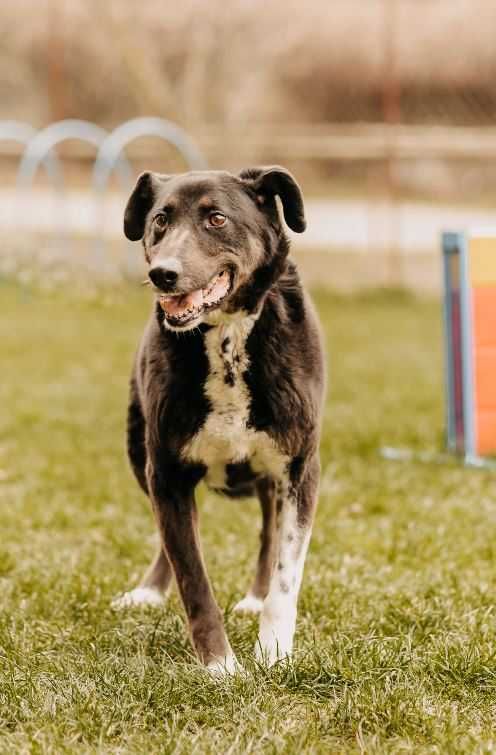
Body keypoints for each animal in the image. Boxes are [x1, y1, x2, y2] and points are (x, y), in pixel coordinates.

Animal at [114, 168, 328, 676]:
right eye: (160, 220)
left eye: (216, 218)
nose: (163, 274)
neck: (227, 337)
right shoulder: (166, 472)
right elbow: (193, 577)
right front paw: (220, 668)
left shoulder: (299, 469)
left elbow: (286, 575)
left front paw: (273, 653)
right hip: (138, 453)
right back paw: (149, 590)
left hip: (271, 477)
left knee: (269, 530)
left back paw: (254, 597)